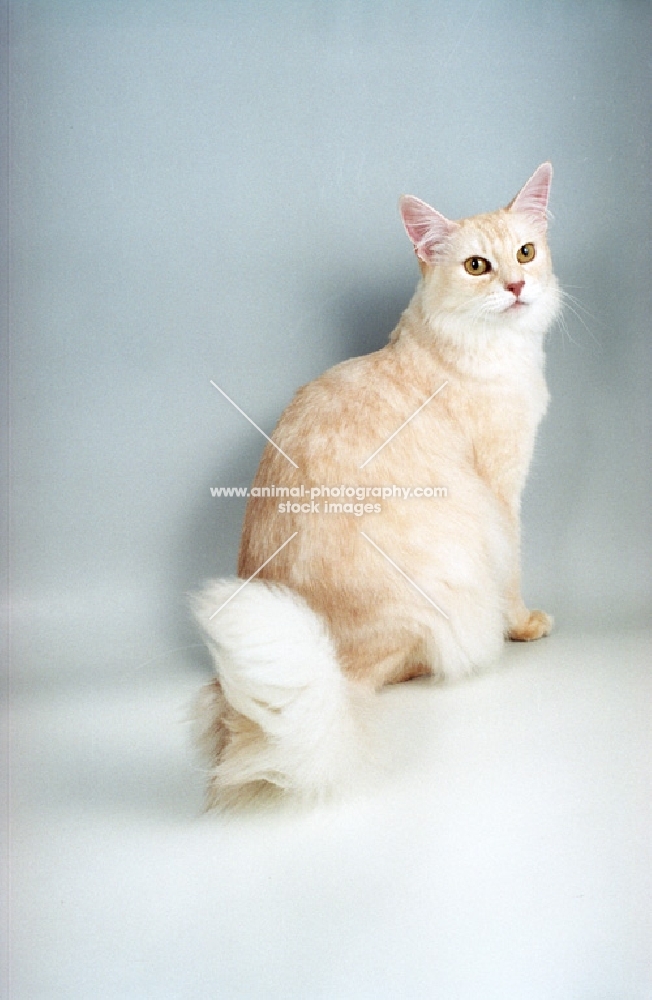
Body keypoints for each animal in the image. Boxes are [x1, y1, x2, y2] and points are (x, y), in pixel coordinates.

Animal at [192, 162, 560, 804]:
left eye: (525, 252)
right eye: (477, 266)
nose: (517, 286)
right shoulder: (500, 494)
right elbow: (512, 571)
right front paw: (521, 626)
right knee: (408, 665)